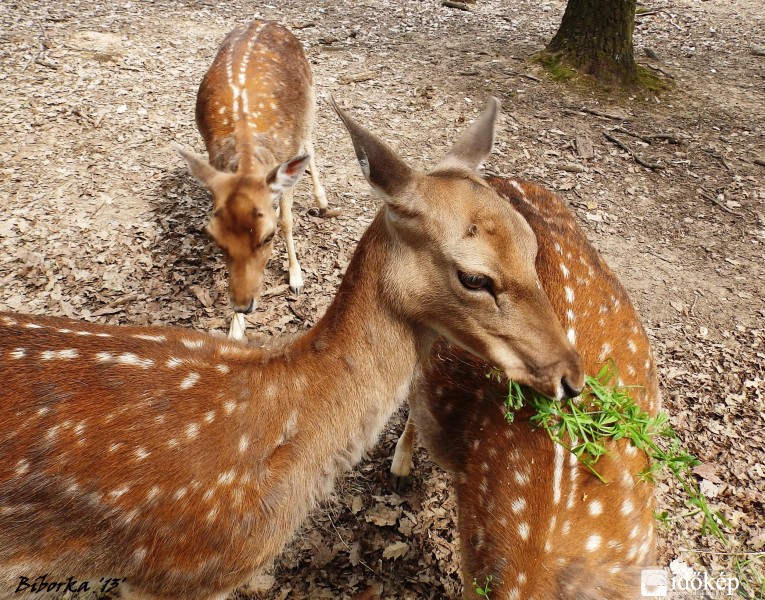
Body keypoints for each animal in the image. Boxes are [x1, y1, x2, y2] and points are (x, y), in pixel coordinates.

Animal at [178, 19, 330, 342]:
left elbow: (287, 220)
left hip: (311, 100)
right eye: (213, 236)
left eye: (267, 236)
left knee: (310, 142)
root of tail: (265, 21)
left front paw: (296, 278)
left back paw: (323, 201)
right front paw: (235, 330)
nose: (243, 305)